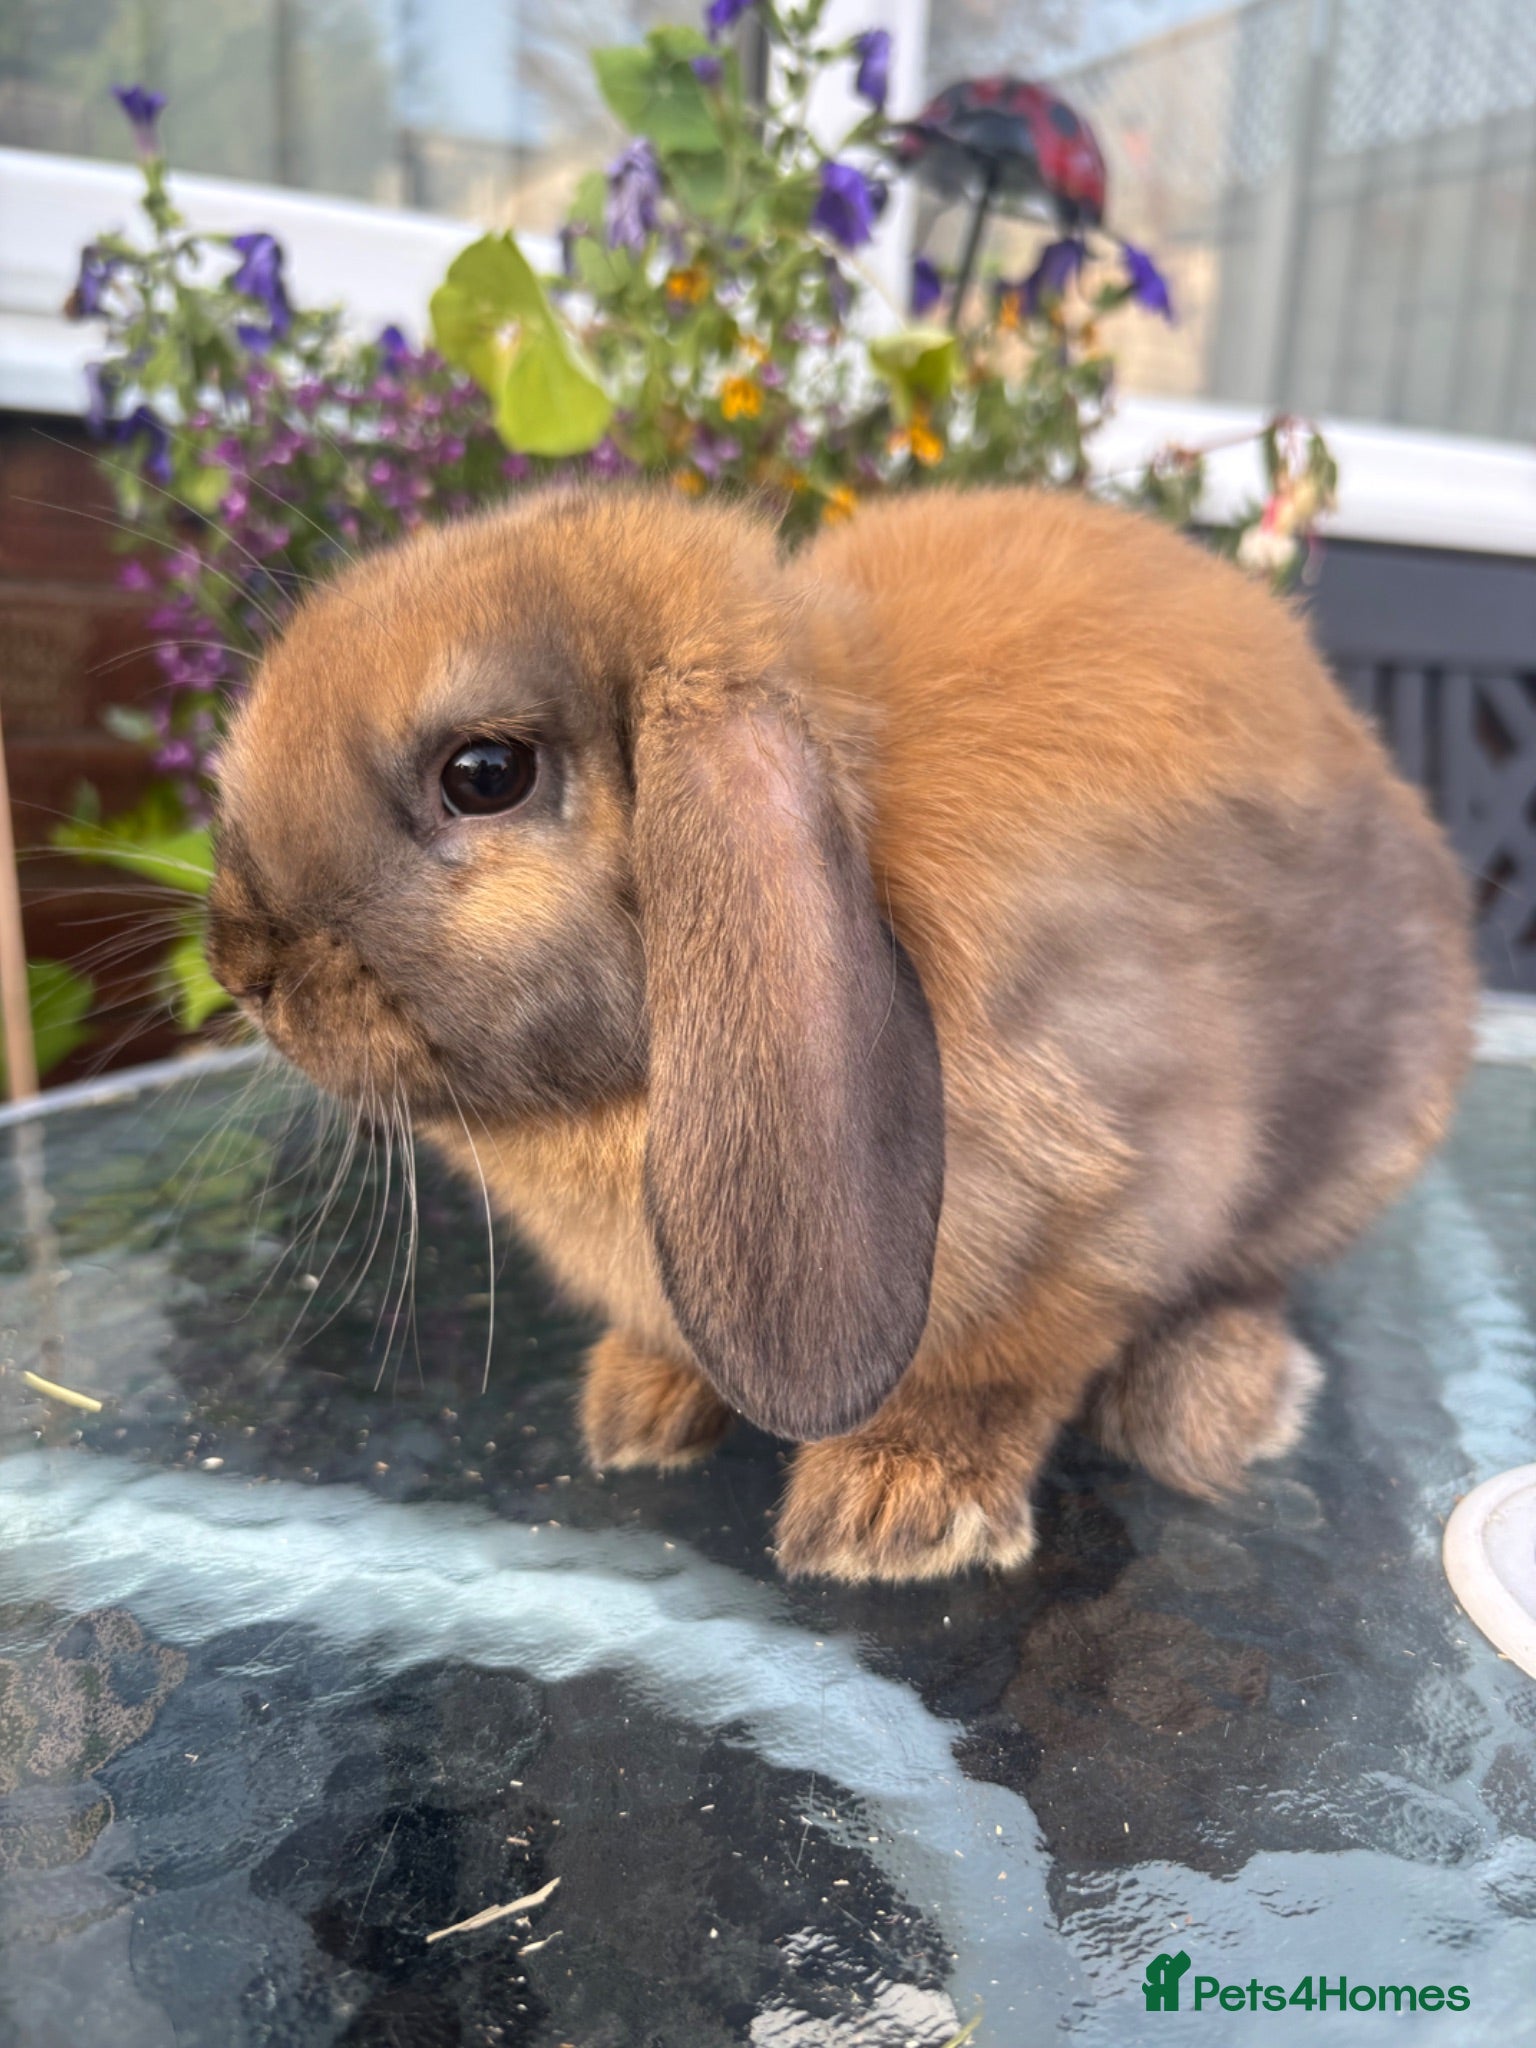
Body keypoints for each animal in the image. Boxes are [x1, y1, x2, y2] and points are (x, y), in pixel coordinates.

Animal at [208, 484, 1476, 1583]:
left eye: (485, 773)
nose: (239, 963)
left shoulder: (1120, 1194)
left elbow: (1004, 1366)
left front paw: (893, 1506)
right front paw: (637, 1408)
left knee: (1255, 1278)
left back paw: (1210, 1402)